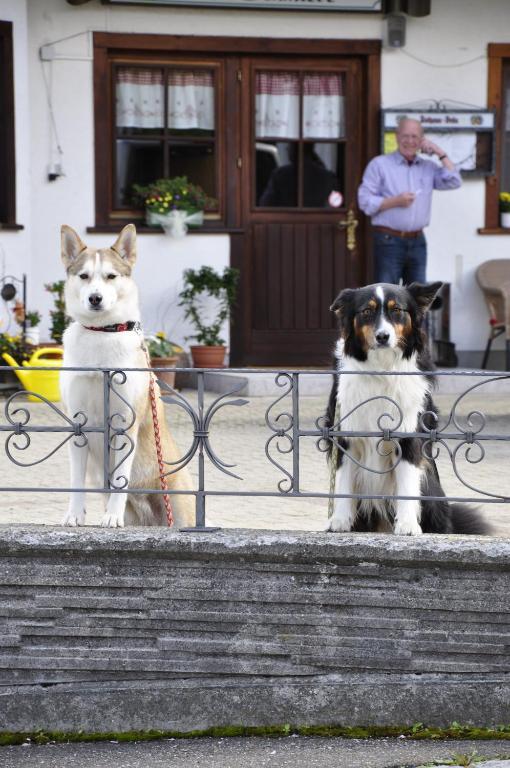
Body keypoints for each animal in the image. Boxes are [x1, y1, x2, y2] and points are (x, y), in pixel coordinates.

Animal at [59, 224, 194, 528]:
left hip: (179, 508)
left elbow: (120, 480)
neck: (101, 333)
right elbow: (75, 480)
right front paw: (74, 515)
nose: (95, 298)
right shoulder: (78, 423)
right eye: (84, 276)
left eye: (111, 276)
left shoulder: (124, 423)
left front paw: (111, 516)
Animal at [326, 280, 490, 536]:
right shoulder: (345, 433)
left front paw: (407, 525)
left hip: (431, 489)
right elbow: (343, 483)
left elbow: (406, 487)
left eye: (397, 310)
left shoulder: (408, 437)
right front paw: (339, 521)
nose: (383, 336)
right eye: (367, 311)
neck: (382, 368)